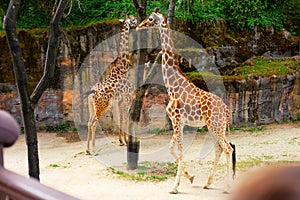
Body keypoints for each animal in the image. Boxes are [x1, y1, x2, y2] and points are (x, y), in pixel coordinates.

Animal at [85, 14, 137, 155]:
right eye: (133, 19)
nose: (137, 22)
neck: (123, 67)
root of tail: (91, 94)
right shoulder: (127, 97)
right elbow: (125, 118)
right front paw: (126, 142)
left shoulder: (118, 100)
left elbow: (120, 119)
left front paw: (121, 141)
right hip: (101, 107)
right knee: (94, 124)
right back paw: (94, 150)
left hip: (92, 107)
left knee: (89, 123)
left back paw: (87, 149)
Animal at [137, 9, 237, 194]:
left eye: (151, 19)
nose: (140, 26)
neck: (172, 87)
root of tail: (227, 110)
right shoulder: (180, 123)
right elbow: (176, 149)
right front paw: (190, 178)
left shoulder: (176, 120)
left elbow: (176, 149)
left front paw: (175, 187)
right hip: (214, 127)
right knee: (220, 149)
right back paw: (207, 183)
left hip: (216, 127)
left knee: (228, 148)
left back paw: (227, 187)